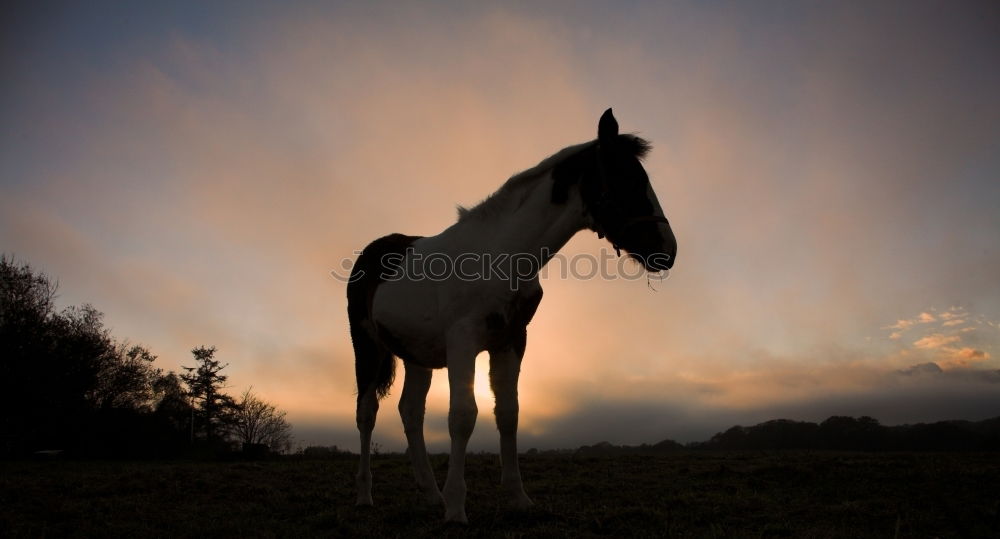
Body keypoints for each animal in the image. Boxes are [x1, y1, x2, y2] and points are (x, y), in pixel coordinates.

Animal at [346, 108, 680, 524]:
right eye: (627, 178)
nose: (667, 250)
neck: (503, 255)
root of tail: (371, 252)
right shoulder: (463, 341)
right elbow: (462, 416)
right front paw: (457, 508)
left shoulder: (511, 341)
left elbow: (508, 413)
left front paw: (517, 497)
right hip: (367, 346)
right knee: (367, 412)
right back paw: (366, 495)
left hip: (416, 355)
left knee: (411, 412)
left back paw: (430, 494)